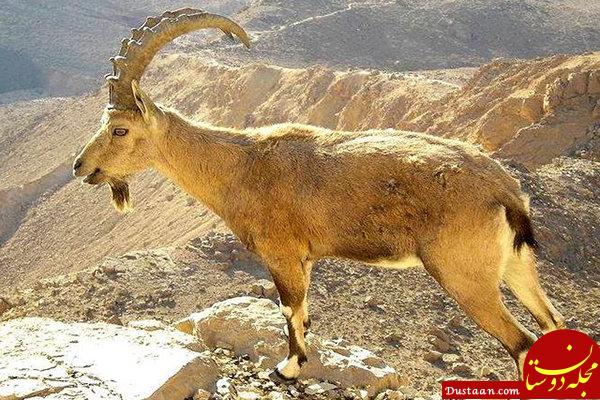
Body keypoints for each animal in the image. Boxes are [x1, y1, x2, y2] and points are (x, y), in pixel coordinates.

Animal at [72, 7, 564, 380]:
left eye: (120, 129)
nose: (81, 167)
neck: (240, 166)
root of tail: (505, 190)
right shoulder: (306, 259)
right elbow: (304, 312)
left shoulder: (283, 254)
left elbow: (289, 309)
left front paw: (289, 367)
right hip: (516, 266)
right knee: (551, 323)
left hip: (466, 276)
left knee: (522, 342)